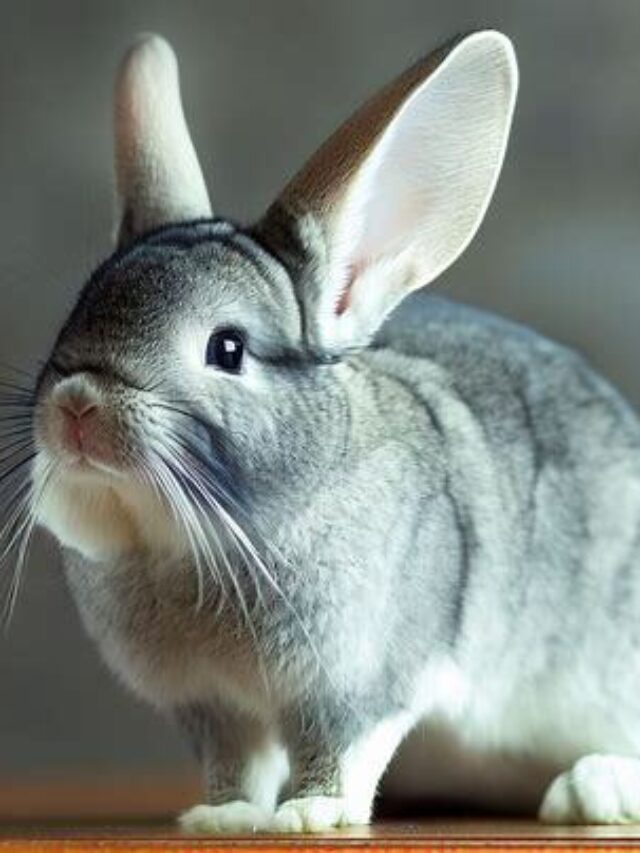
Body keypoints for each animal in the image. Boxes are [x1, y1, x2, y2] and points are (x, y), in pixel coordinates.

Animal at [16, 26, 640, 833]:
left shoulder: (362, 680)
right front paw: (221, 817)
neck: (184, 544)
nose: (78, 405)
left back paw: (593, 788)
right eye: (81, 306)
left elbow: (341, 747)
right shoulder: (212, 707)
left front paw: (311, 814)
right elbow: (237, 762)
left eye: (227, 348)